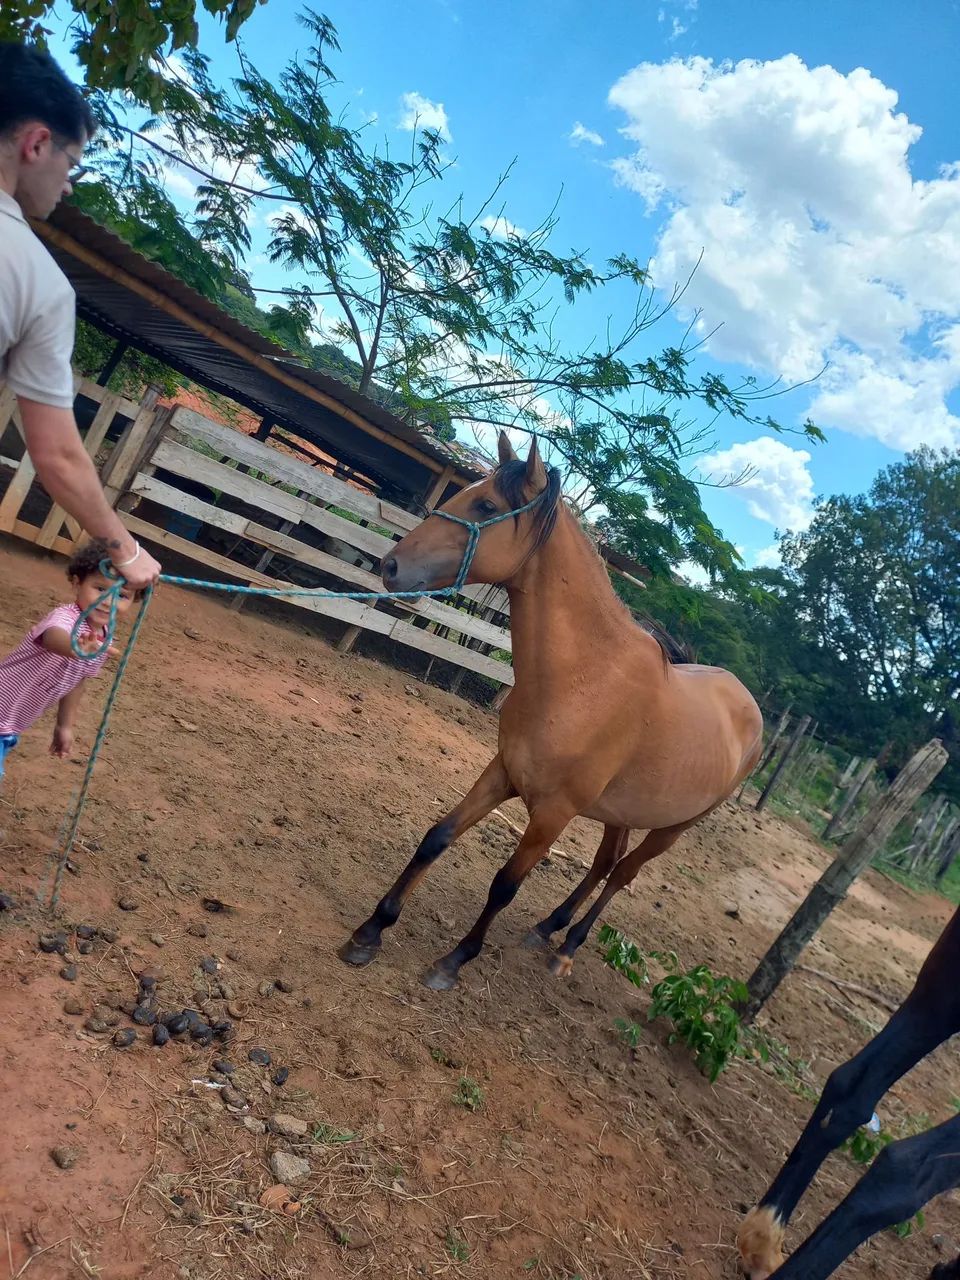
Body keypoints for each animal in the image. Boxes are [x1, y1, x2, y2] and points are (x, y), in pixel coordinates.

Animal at [339, 433, 764, 991]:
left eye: (486, 506)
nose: (390, 566)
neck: (584, 680)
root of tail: (750, 709)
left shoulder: (554, 813)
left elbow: (504, 885)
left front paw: (454, 961)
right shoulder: (502, 772)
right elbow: (437, 838)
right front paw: (370, 931)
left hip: (673, 828)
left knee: (623, 874)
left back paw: (569, 947)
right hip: (621, 812)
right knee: (605, 862)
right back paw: (549, 927)